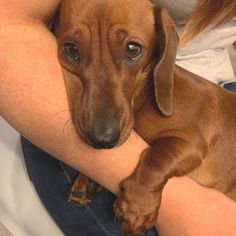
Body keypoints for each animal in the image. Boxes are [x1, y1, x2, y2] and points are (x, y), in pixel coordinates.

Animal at [56, 0, 236, 234]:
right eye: (71, 49)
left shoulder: (192, 143)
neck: (143, 97)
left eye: (133, 49)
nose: (102, 139)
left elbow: (157, 159)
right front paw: (84, 181)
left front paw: (137, 205)